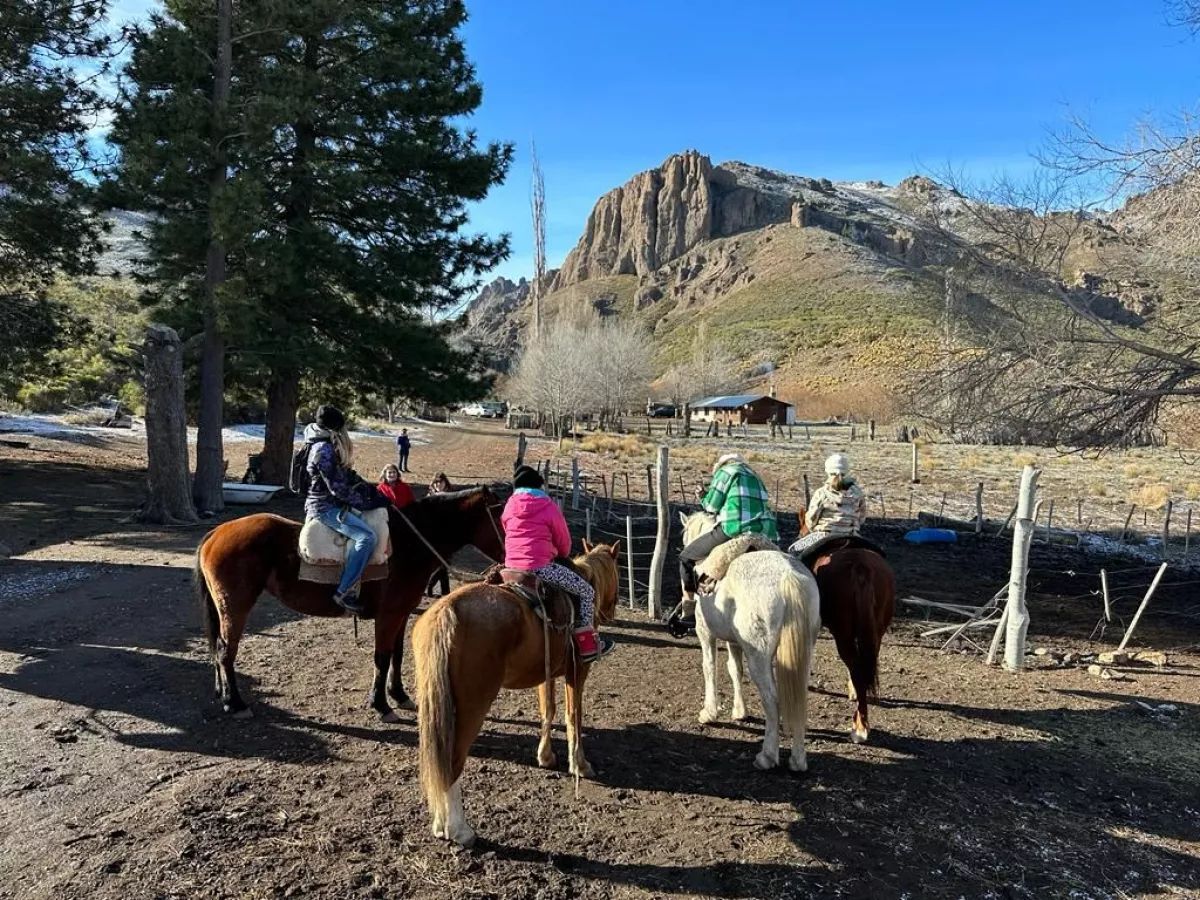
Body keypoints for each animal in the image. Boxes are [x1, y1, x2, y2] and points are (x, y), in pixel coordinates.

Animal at [194, 489, 504, 724]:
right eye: (504, 517)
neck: (407, 543)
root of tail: (217, 532)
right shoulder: (388, 616)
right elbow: (382, 657)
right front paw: (381, 704)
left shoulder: (401, 613)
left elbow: (397, 655)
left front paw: (399, 695)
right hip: (235, 608)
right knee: (225, 651)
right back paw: (235, 702)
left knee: (220, 650)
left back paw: (223, 694)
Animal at [412, 542, 619, 854]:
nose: (611, 610)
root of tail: (448, 610)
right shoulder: (577, 671)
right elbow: (574, 716)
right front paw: (580, 764)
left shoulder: (546, 673)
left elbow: (548, 710)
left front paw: (546, 756)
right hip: (472, 707)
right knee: (452, 762)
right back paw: (460, 831)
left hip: (436, 706)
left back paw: (439, 824)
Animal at [681, 511, 820, 772]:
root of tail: (789, 577)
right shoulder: (734, 641)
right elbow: (735, 670)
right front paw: (740, 711)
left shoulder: (705, 632)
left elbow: (709, 667)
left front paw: (709, 712)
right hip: (803, 653)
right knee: (798, 699)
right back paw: (798, 760)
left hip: (759, 657)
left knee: (772, 701)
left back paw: (767, 756)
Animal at [796, 525, 892, 744]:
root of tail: (860, 568)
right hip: (875, 633)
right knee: (864, 666)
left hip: (843, 634)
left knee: (856, 667)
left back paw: (860, 729)